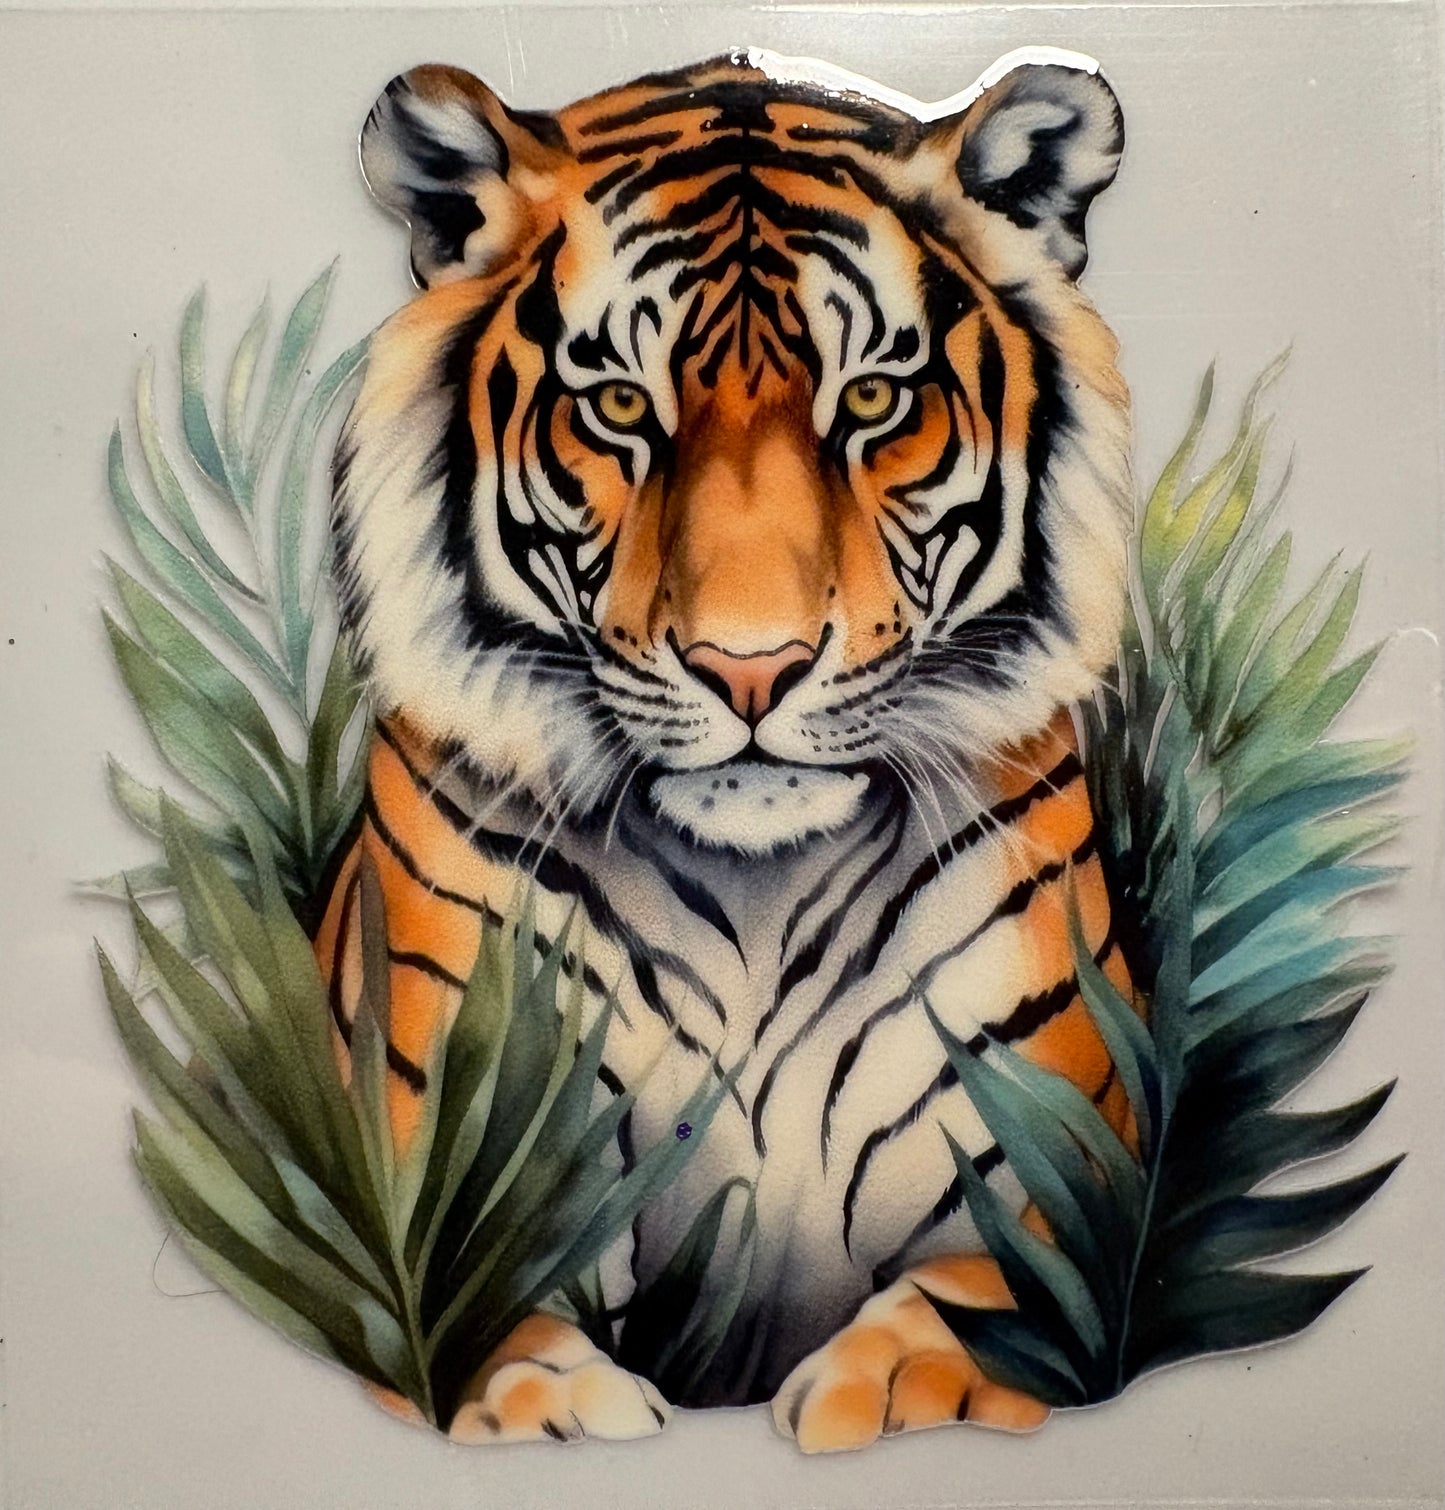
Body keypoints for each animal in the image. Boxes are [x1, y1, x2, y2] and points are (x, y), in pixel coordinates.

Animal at [316, 46, 1138, 1452]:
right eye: (616, 405)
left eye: (872, 398)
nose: (749, 666)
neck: (755, 890)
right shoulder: (435, 1179)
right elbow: (472, 1322)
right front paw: (559, 1401)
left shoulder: (1049, 1174)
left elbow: (977, 1313)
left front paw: (880, 1393)